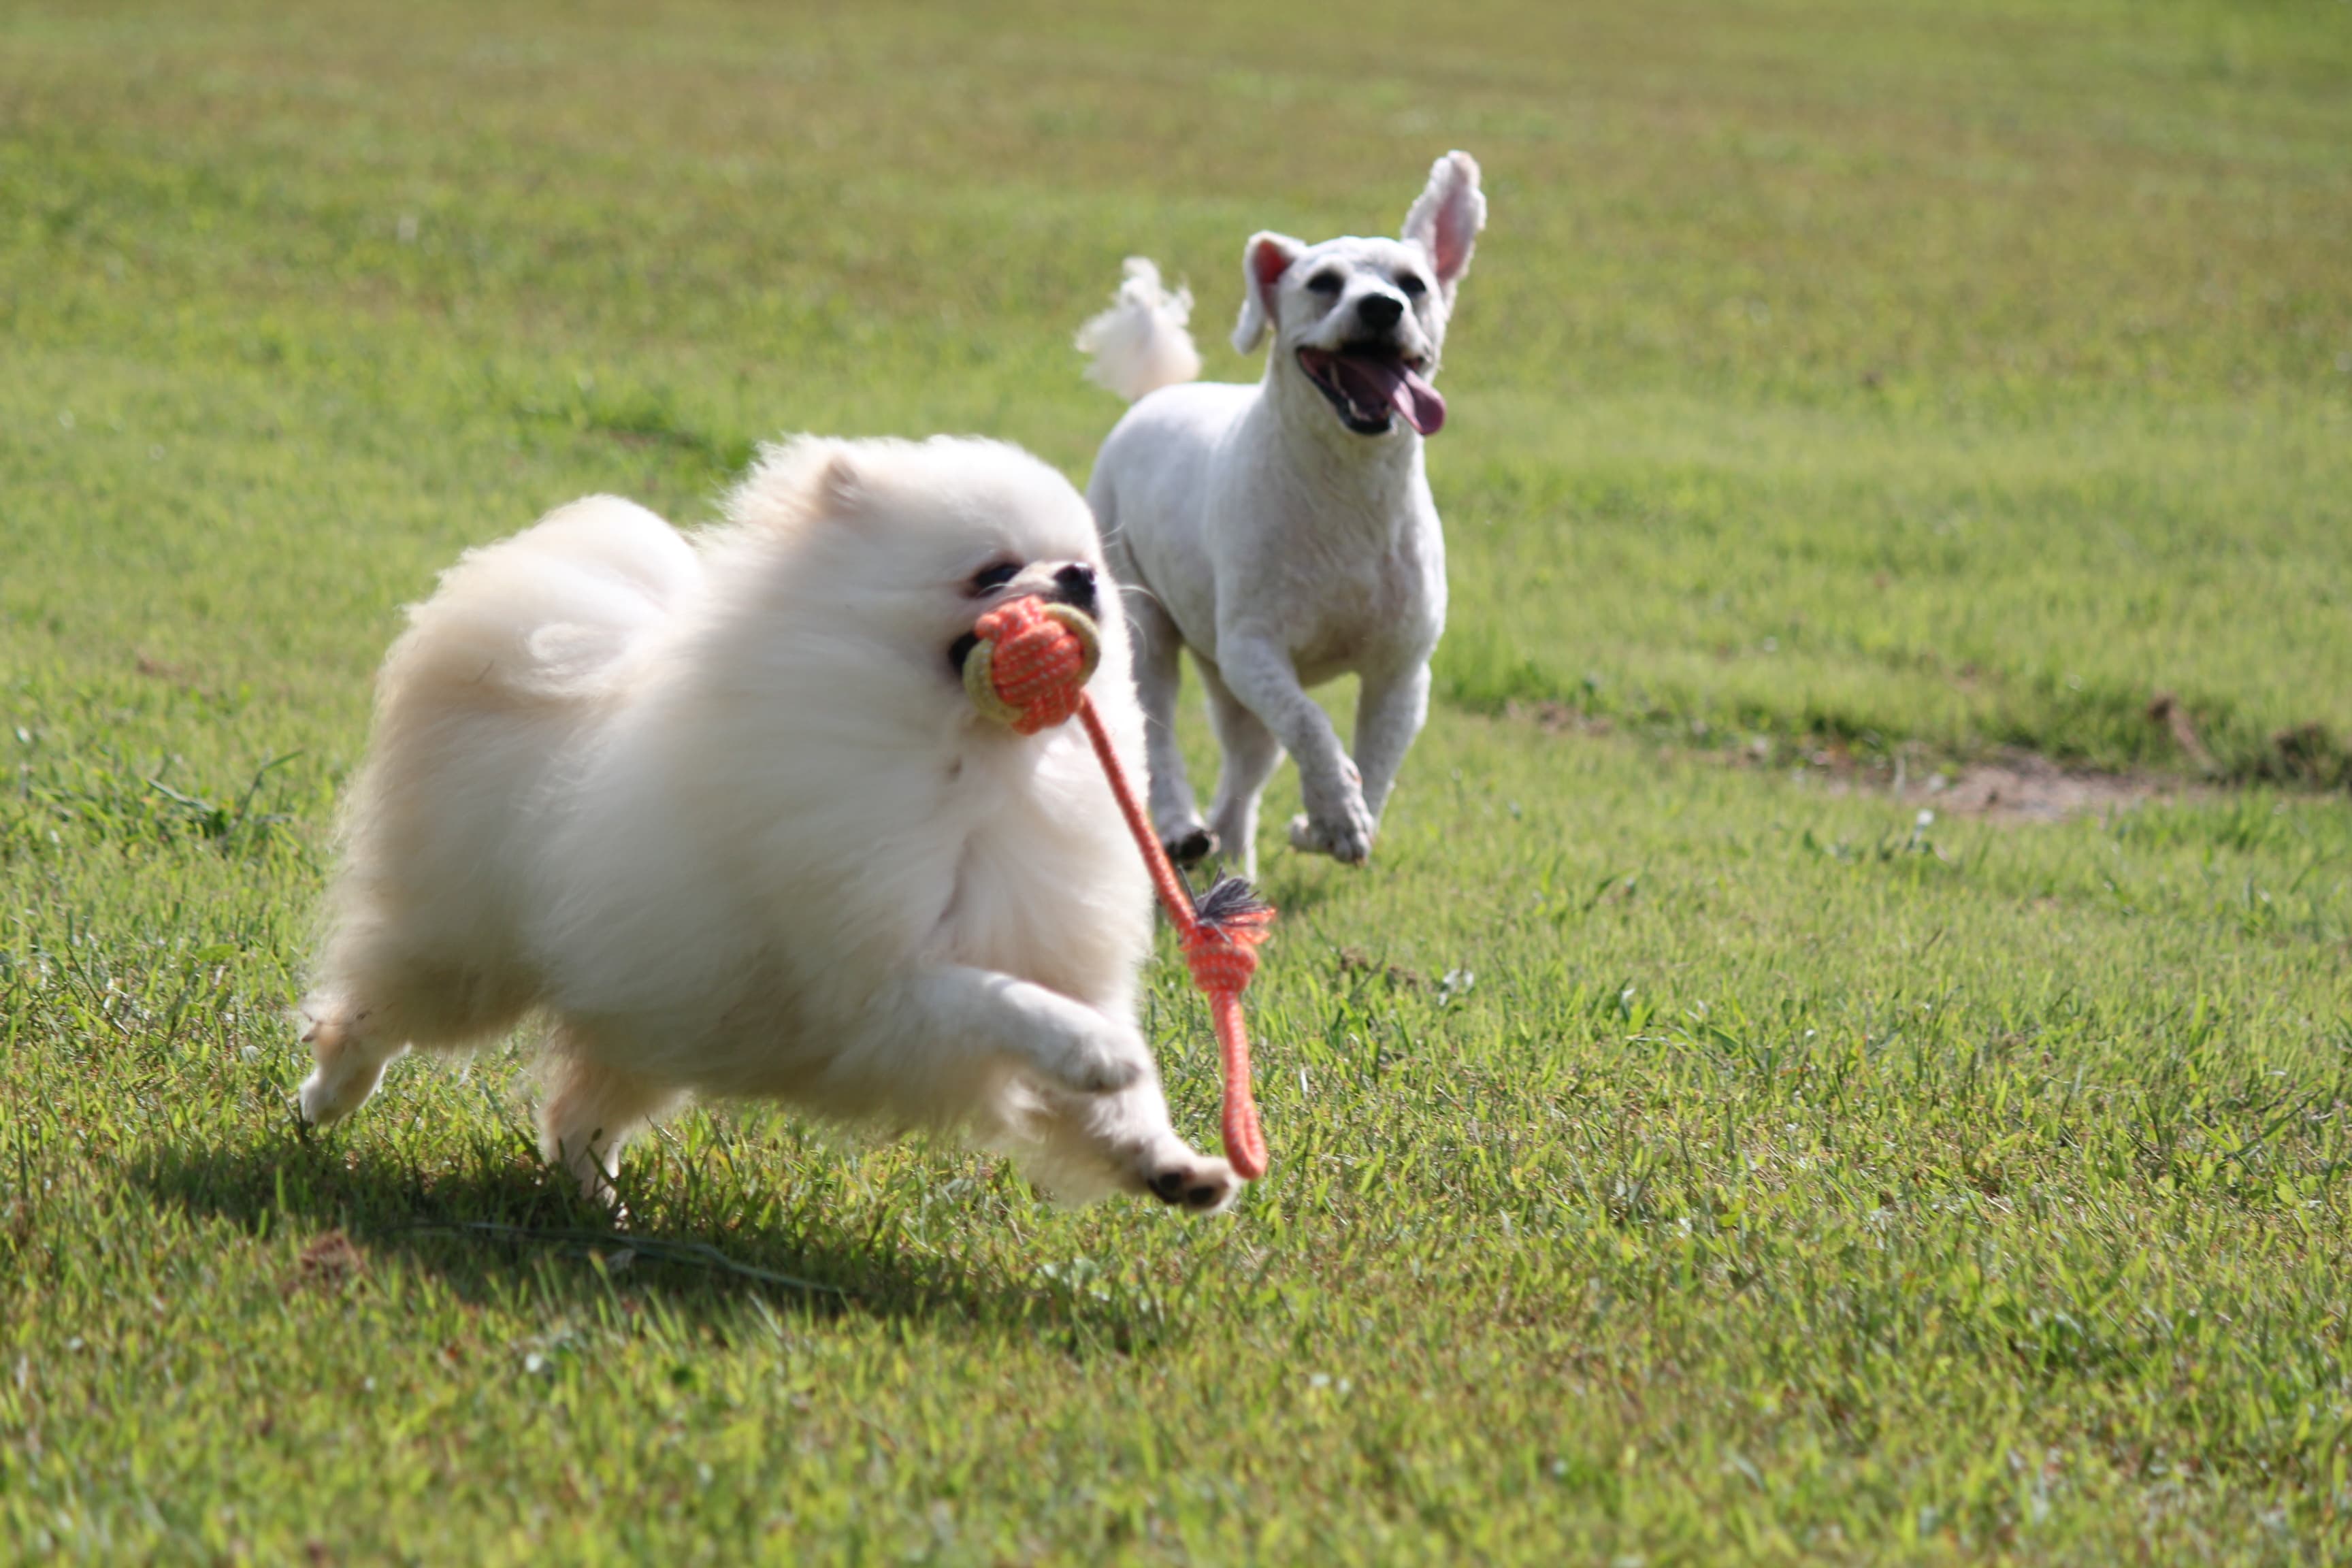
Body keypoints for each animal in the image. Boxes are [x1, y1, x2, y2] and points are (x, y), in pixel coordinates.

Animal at [296, 435, 1241, 1222]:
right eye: (993, 571)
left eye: (1087, 558)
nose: (1081, 576)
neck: (976, 767)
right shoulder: (874, 983)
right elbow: (1004, 1001)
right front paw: (1094, 1048)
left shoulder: (1043, 943)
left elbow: (1121, 1100)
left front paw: (1176, 1165)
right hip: (469, 960)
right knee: (370, 1013)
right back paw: (327, 1098)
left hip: (655, 1009)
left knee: (578, 1118)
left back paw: (604, 1212)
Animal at [1077, 151, 1477, 879]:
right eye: (1322, 283)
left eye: (1415, 284)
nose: (1382, 307)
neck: (1349, 492)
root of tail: (1153, 397)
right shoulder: (1253, 647)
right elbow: (1311, 722)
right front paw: (1335, 814)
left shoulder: (1402, 669)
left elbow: (1378, 763)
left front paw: (1333, 824)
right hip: (1148, 618)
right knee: (1159, 728)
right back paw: (1181, 829)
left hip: (1227, 679)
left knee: (1247, 760)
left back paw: (1233, 853)